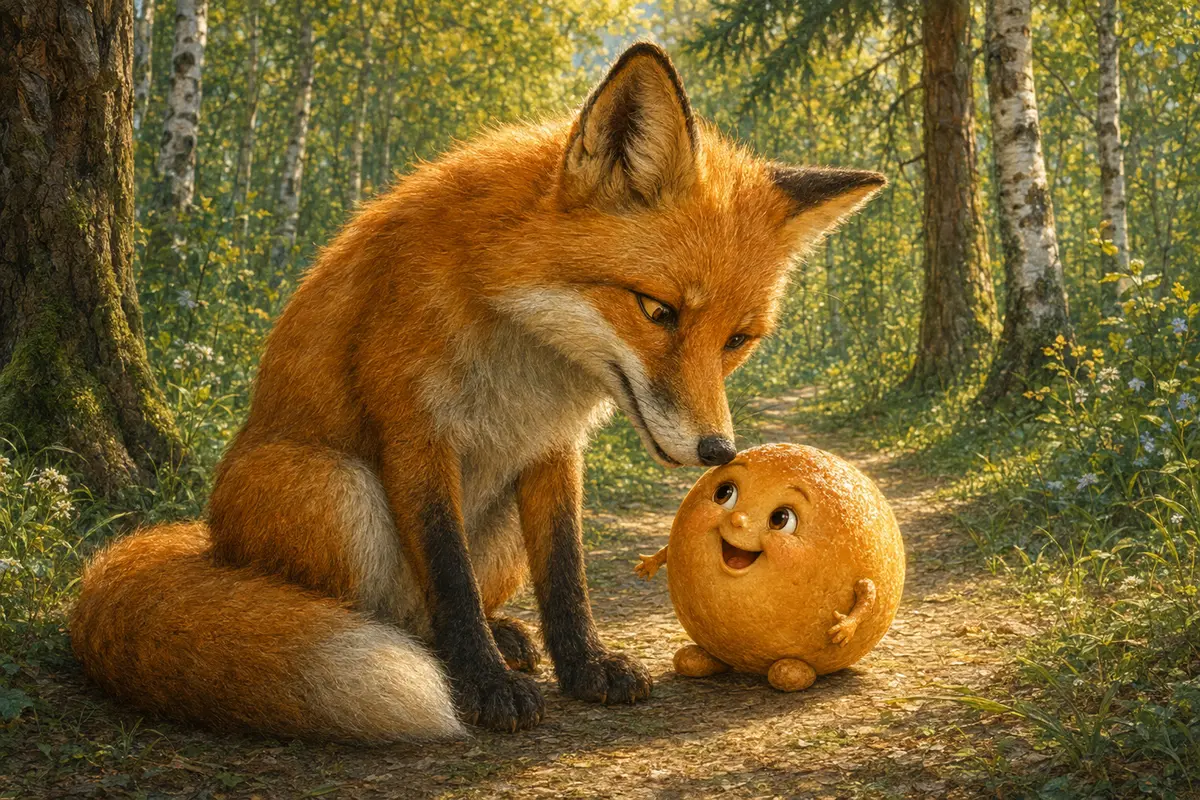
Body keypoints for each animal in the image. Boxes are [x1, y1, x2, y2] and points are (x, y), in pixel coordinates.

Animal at [70, 42, 885, 741]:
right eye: (657, 310)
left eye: (738, 341)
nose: (718, 451)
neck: (528, 354)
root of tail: (207, 540)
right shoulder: (415, 430)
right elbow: (450, 576)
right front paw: (483, 686)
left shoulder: (552, 449)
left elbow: (566, 576)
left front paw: (584, 666)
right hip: (333, 488)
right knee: (382, 613)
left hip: (495, 534)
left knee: (431, 607)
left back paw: (506, 636)